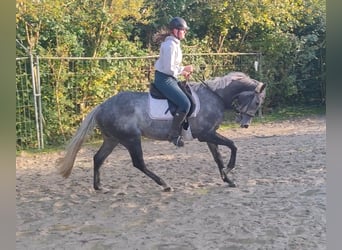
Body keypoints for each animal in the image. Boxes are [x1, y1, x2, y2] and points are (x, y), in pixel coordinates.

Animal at [56, 72, 266, 191]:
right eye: (257, 102)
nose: (245, 125)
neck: (215, 96)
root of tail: (101, 106)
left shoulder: (209, 135)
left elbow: (218, 158)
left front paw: (227, 179)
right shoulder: (205, 135)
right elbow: (233, 145)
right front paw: (229, 170)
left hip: (112, 139)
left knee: (98, 158)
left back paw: (99, 186)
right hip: (131, 139)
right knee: (139, 163)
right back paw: (164, 184)